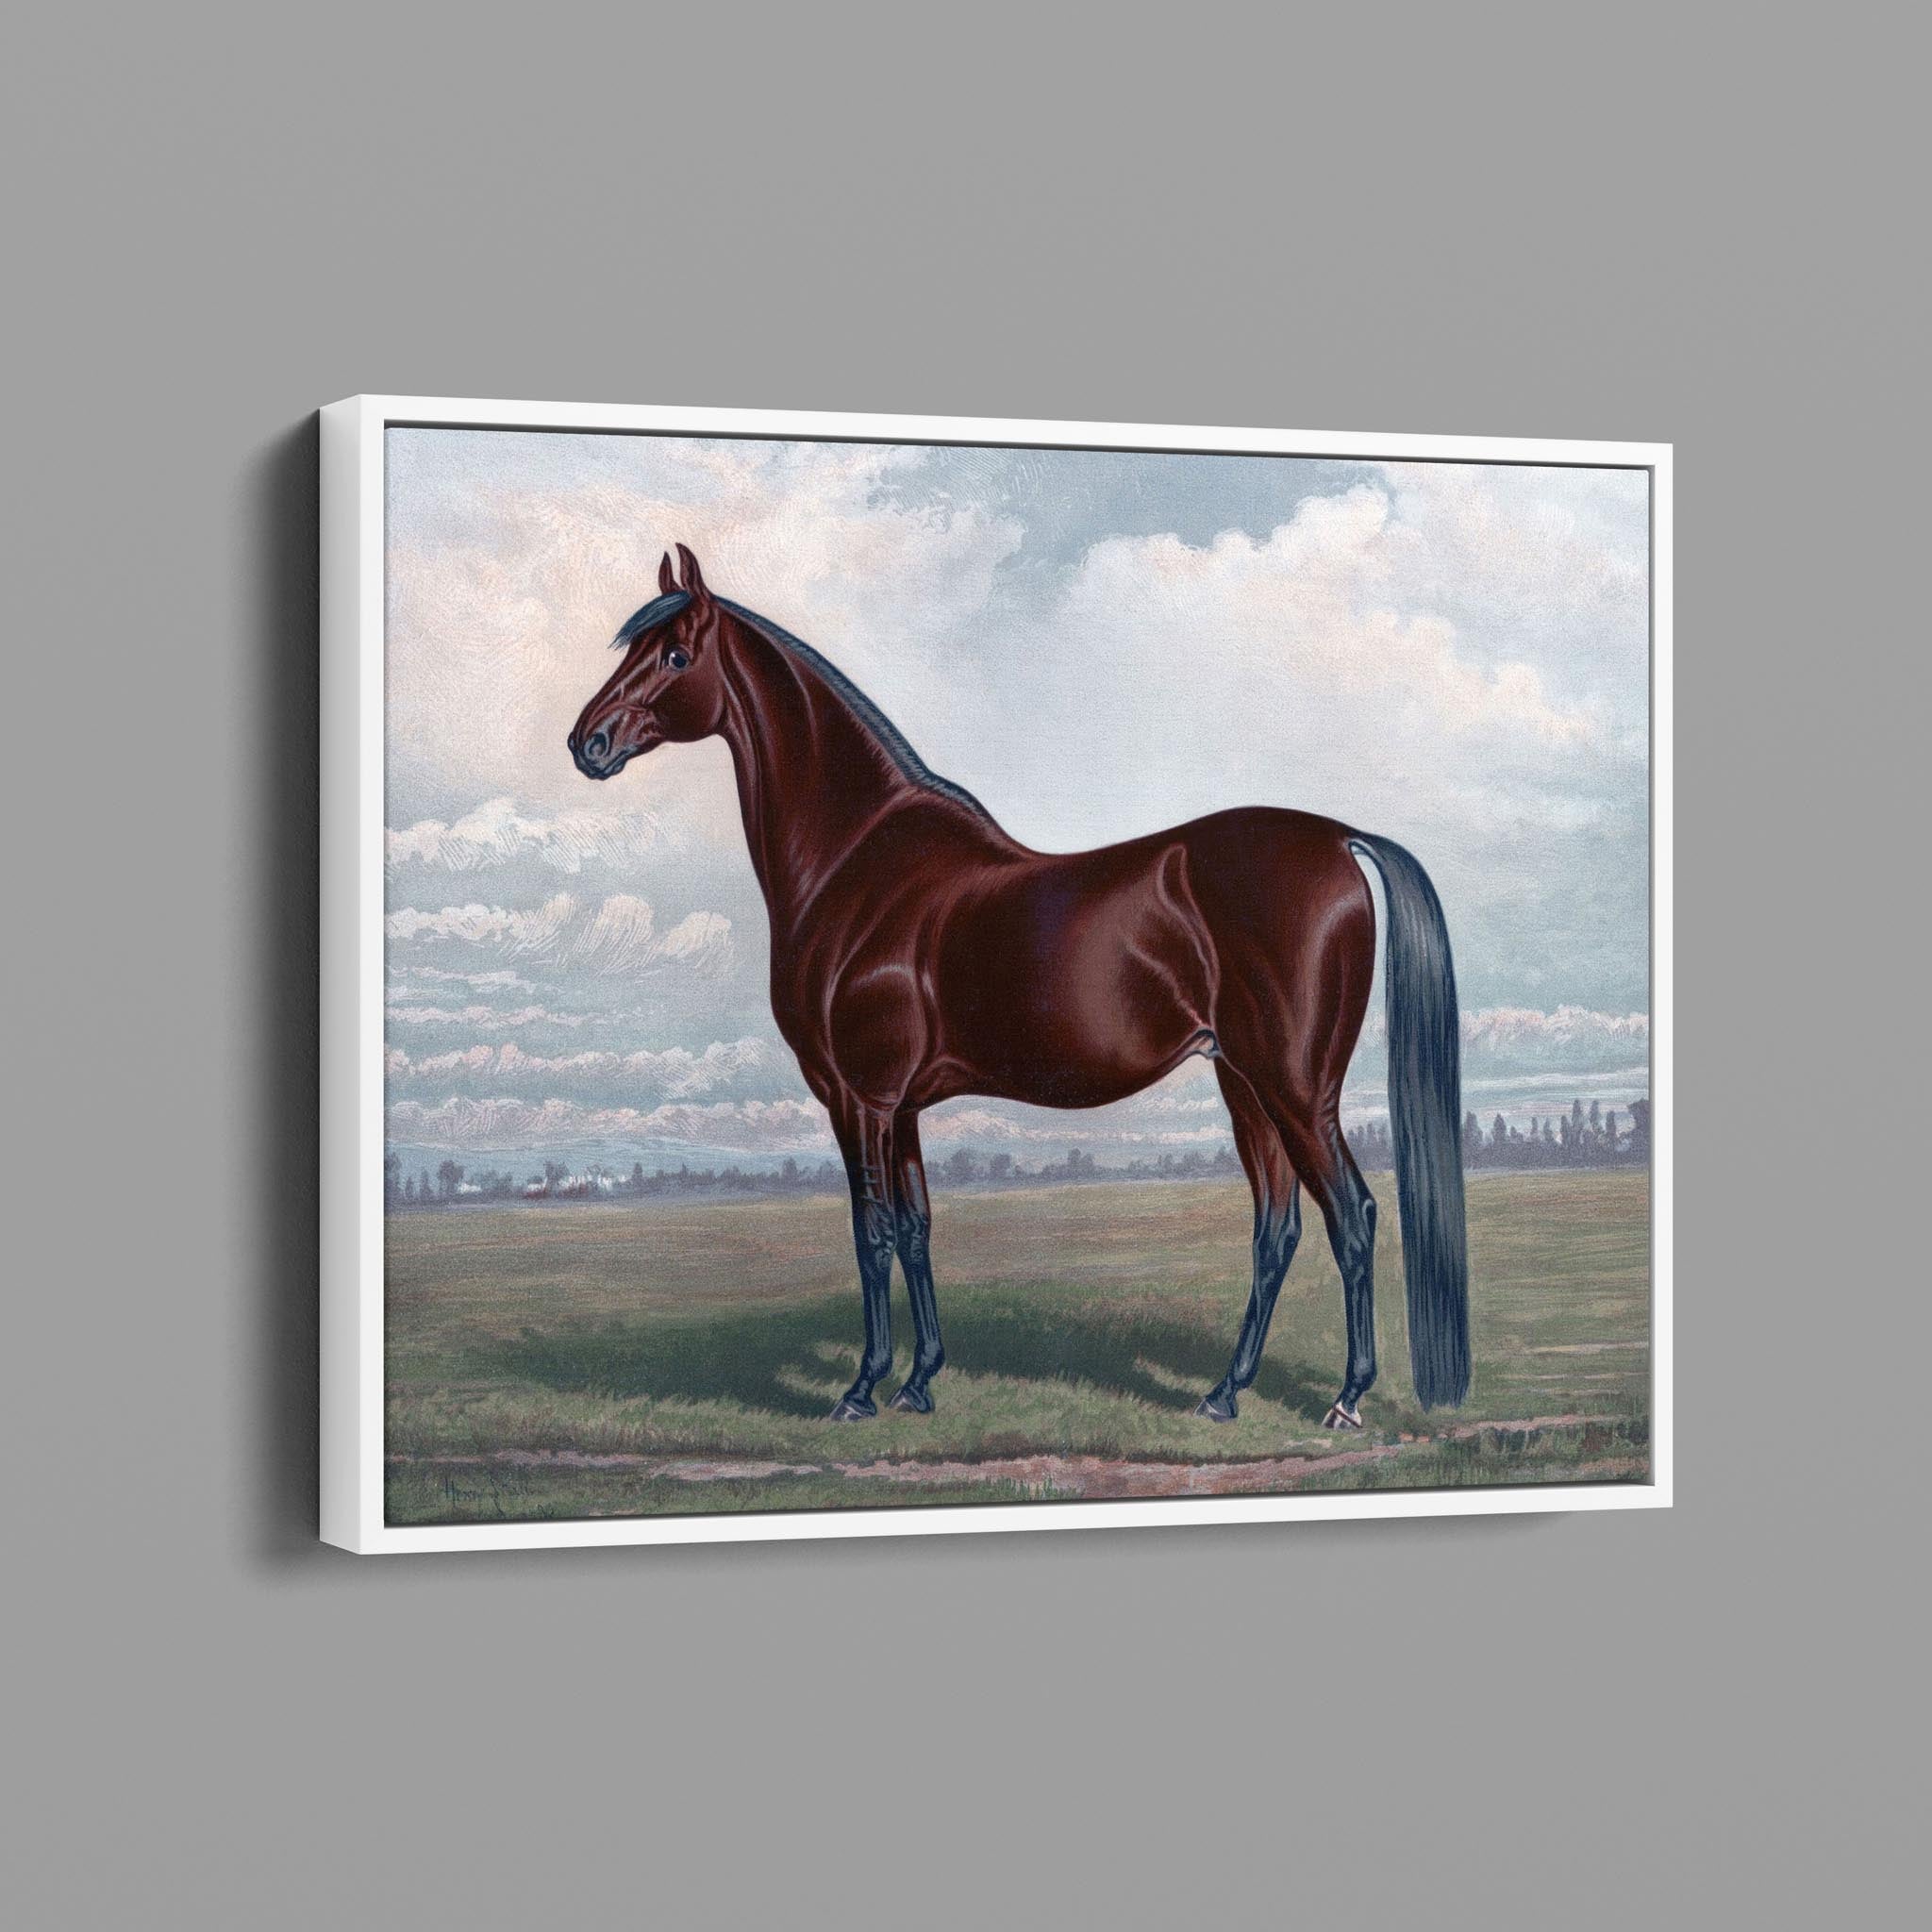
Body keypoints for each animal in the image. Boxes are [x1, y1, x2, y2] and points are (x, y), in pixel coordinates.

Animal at [569, 544, 1469, 1430]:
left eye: (675, 655)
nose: (588, 742)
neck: (856, 860)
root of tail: (1341, 840)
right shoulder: (902, 1107)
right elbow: (918, 1228)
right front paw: (921, 1381)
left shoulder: (859, 1099)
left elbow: (872, 1233)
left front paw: (862, 1388)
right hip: (1244, 1083)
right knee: (1275, 1228)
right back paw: (1223, 1393)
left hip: (1296, 1089)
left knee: (1351, 1218)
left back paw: (1346, 1398)